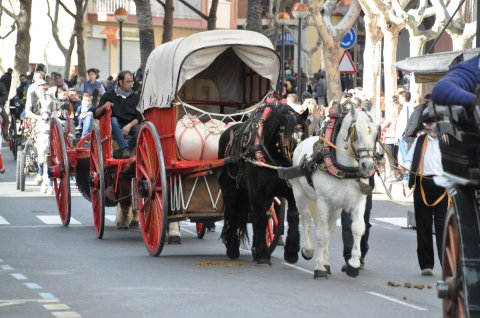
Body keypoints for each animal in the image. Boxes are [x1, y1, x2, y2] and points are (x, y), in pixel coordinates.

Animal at [218, 103, 310, 264]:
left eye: (304, 135)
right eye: (286, 136)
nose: (299, 166)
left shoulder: (290, 192)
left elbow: (292, 216)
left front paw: (291, 252)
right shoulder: (256, 192)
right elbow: (259, 218)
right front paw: (262, 254)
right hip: (231, 190)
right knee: (233, 214)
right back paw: (233, 247)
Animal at [290, 106, 376, 278]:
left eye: (376, 133)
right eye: (356, 133)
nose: (368, 166)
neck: (346, 170)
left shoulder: (358, 201)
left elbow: (357, 228)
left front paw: (353, 264)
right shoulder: (323, 202)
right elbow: (321, 235)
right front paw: (319, 268)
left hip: (336, 207)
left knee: (329, 230)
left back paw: (327, 263)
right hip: (300, 195)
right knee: (306, 221)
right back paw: (308, 251)